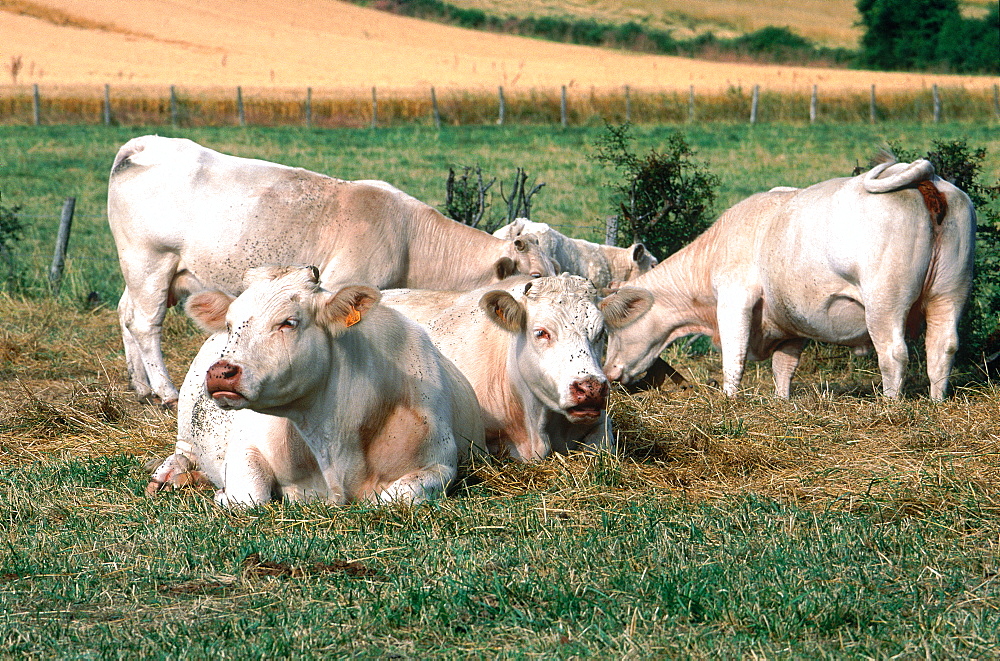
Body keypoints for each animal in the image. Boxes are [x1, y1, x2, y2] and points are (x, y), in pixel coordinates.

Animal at [149, 264, 488, 506]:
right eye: (231, 325)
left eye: (289, 322)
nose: (220, 372)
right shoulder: (246, 445)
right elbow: (249, 498)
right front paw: (221, 494)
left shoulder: (441, 463)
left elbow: (395, 498)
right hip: (187, 423)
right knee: (182, 452)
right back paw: (170, 475)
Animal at [600, 159, 976, 402]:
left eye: (613, 330)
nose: (609, 373)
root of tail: (928, 180)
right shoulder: (791, 319)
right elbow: (784, 367)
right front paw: (782, 401)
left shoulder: (735, 299)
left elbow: (733, 358)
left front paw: (728, 401)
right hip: (949, 293)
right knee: (942, 347)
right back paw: (936, 402)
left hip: (885, 302)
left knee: (894, 354)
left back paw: (890, 406)